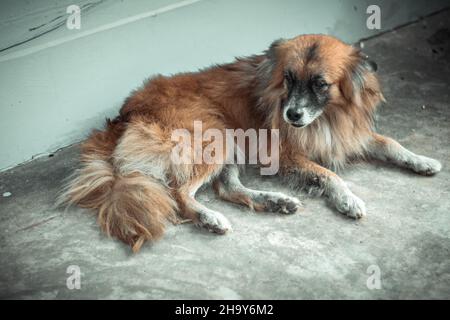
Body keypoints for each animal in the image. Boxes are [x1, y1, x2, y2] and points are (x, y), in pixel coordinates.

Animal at [60, 33, 442, 251]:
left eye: (320, 83)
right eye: (288, 78)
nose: (291, 115)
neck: (328, 117)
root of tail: (123, 115)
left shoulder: (350, 135)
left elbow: (391, 143)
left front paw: (423, 160)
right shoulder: (287, 154)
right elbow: (329, 175)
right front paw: (348, 199)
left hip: (229, 142)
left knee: (227, 188)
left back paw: (275, 201)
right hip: (214, 136)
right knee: (179, 193)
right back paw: (209, 218)